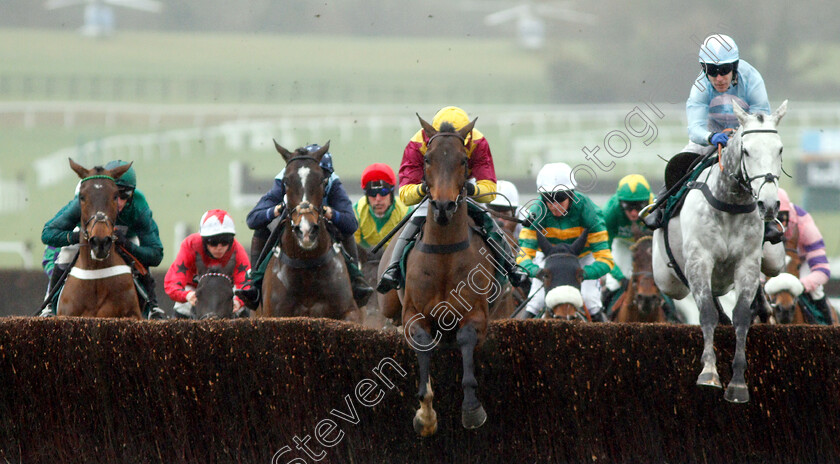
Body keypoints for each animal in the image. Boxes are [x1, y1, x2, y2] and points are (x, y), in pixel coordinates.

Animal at [260, 141, 362, 322]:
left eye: (322, 180)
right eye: (286, 181)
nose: (306, 230)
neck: (306, 267)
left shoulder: (350, 312)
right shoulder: (273, 315)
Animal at [380, 115, 498, 436]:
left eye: (463, 160)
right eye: (427, 159)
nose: (443, 206)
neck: (444, 254)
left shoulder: (477, 314)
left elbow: (467, 338)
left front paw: (471, 408)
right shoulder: (412, 313)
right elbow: (422, 343)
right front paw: (426, 414)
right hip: (389, 305)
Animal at [652, 100, 792, 402]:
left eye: (780, 149)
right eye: (746, 150)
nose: (769, 204)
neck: (730, 203)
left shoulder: (747, 263)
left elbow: (741, 316)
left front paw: (738, 382)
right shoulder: (699, 261)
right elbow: (707, 313)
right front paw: (709, 372)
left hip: (772, 260)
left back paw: (764, 309)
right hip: (667, 279)